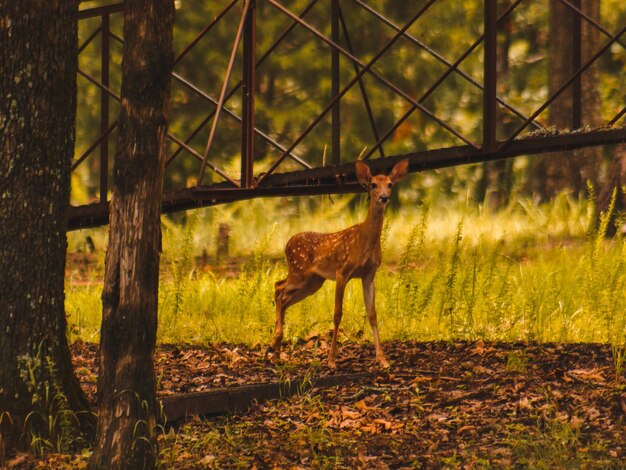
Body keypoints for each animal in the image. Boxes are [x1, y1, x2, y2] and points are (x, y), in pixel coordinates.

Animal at [266, 160, 410, 370]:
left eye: (390, 184)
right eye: (373, 184)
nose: (384, 197)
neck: (365, 240)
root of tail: (287, 243)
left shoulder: (369, 275)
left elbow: (372, 314)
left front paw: (382, 359)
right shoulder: (343, 271)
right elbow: (337, 314)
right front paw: (332, 359)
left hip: (313, 282)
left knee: (283, 297)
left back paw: (277, 353)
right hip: (299, 273)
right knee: (278, 287)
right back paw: (274, 344)